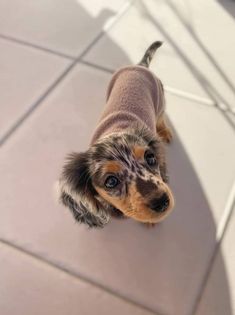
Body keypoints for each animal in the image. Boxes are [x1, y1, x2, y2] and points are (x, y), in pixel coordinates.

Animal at [57, 42, 173, 230]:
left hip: (161, 99)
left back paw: (165, 131)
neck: (116, 129)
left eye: (150, 158)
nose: (162, 202)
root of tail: (139, 66)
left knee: (161, 117)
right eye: (111, 181)